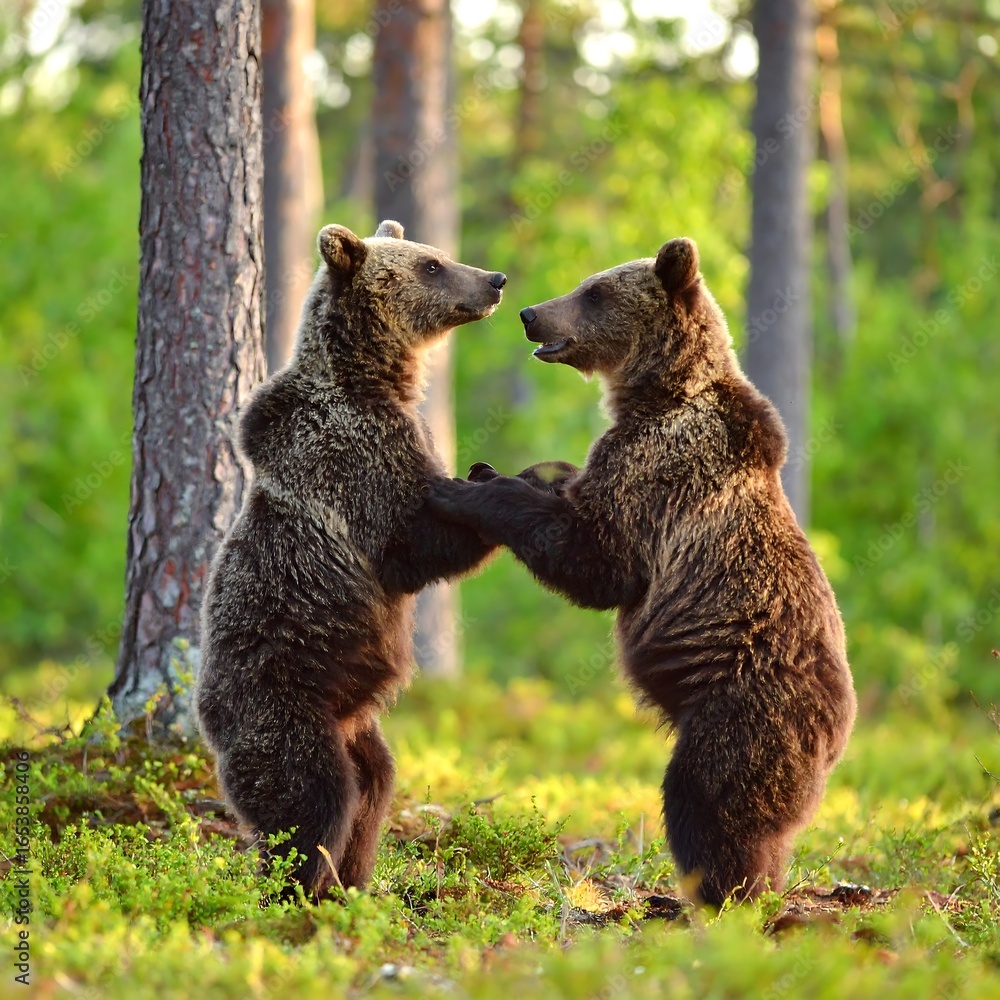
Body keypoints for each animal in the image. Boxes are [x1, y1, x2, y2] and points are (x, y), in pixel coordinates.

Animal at [195, 220, 507, 898]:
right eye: (432, 266)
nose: (494, 280)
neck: (375, 380)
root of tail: (208, 722)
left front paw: (483, 471)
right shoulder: (353, 457)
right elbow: (409, 546)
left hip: (355, 721)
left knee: (374, 786)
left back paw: (352, 883)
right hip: (284, 702)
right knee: (310, 796)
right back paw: (297, 889)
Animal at [428, 237, 857, 907]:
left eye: (593, 291)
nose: (530, 313)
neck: (658, 390)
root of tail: (840, 731)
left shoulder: (661, 472)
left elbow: (599, 560)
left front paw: (465, 487)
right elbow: (569, 489)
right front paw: (505, 469)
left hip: (740, 711)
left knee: (706, 800)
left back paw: (711, 897)